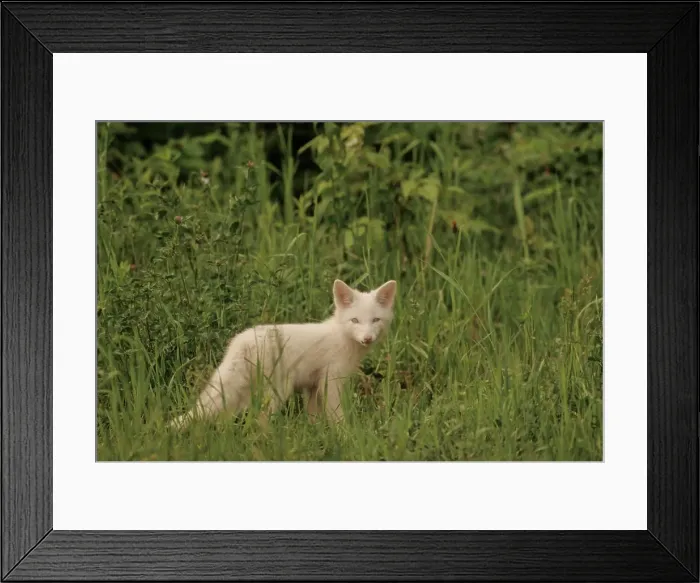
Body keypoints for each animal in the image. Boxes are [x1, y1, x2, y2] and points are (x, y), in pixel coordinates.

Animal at [169, 278, 397, 429]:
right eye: (355, 320)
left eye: (375, 320)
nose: (367, 338)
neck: (340, 336)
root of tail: (241, 341)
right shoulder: (331, 382)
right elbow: (336, 416)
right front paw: (345, 435)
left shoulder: (312, 386)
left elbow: (313, 417)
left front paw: (316, 435)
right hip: (278, 390)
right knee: (260, 418)